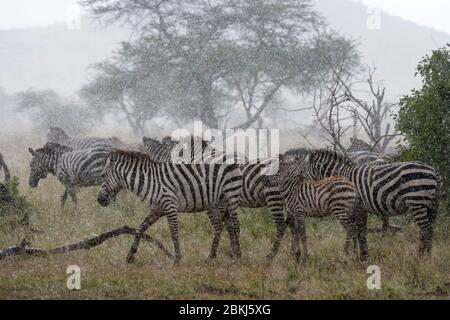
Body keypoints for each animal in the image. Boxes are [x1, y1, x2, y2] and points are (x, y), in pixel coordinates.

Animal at [97, 149, 244, 262]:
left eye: (103, 175)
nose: (99, 200)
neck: (149, 181)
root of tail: (230, 155)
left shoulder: (170, 206)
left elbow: (173, 232)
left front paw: (177, 258)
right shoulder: (157, 209)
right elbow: (140, 228)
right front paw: (130, 255)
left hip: (231, 194)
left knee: (236, 225)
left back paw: (238, 256)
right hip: (213, 203)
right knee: (219, 227)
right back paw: (211, 256)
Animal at [142, 136, 286, 258]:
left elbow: (224, 225)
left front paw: (230, 252)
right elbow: (229, 225)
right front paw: (233, 251)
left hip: (273, 197)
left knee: (280, 225)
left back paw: (271, 255)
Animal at [302, 149, 440, 256]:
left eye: (302, 172)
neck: (342, 176)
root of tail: (433, 170)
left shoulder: (356, 208)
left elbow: (358, 232)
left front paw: (359, 255)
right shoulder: (360, 209)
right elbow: (360, 232)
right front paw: (362, 254)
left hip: (417, 202)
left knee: (427, 230)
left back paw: (425, 258)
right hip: (429, 204)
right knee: (427, 229)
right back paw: (421, 255)